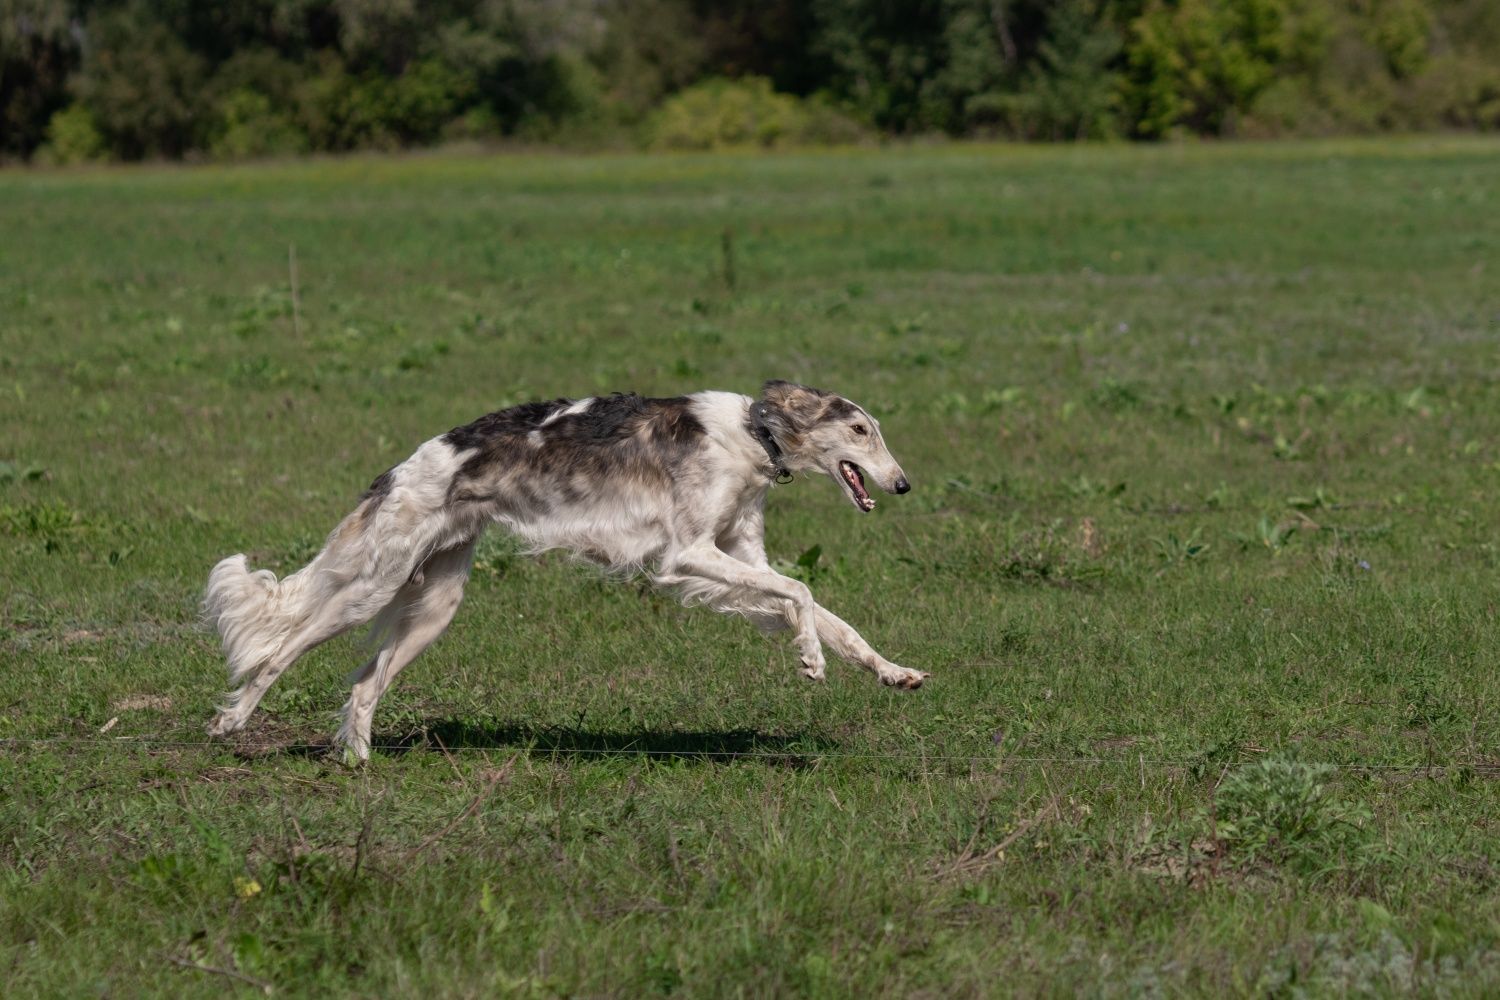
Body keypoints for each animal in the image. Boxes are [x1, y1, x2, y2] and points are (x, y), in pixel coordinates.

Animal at [199, 383, 924, 758]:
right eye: (860, 430)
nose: (903, 484)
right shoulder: (687, 555)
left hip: (434, 605)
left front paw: (893, 671)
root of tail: (405, 465)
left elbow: (828, 614)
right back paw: (231, 724)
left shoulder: (735, 556)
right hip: (373, 585)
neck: (753, 432)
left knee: (363, 684)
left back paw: (358, 759)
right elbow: (801, 592)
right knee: (278, 652)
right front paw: (810, 660)